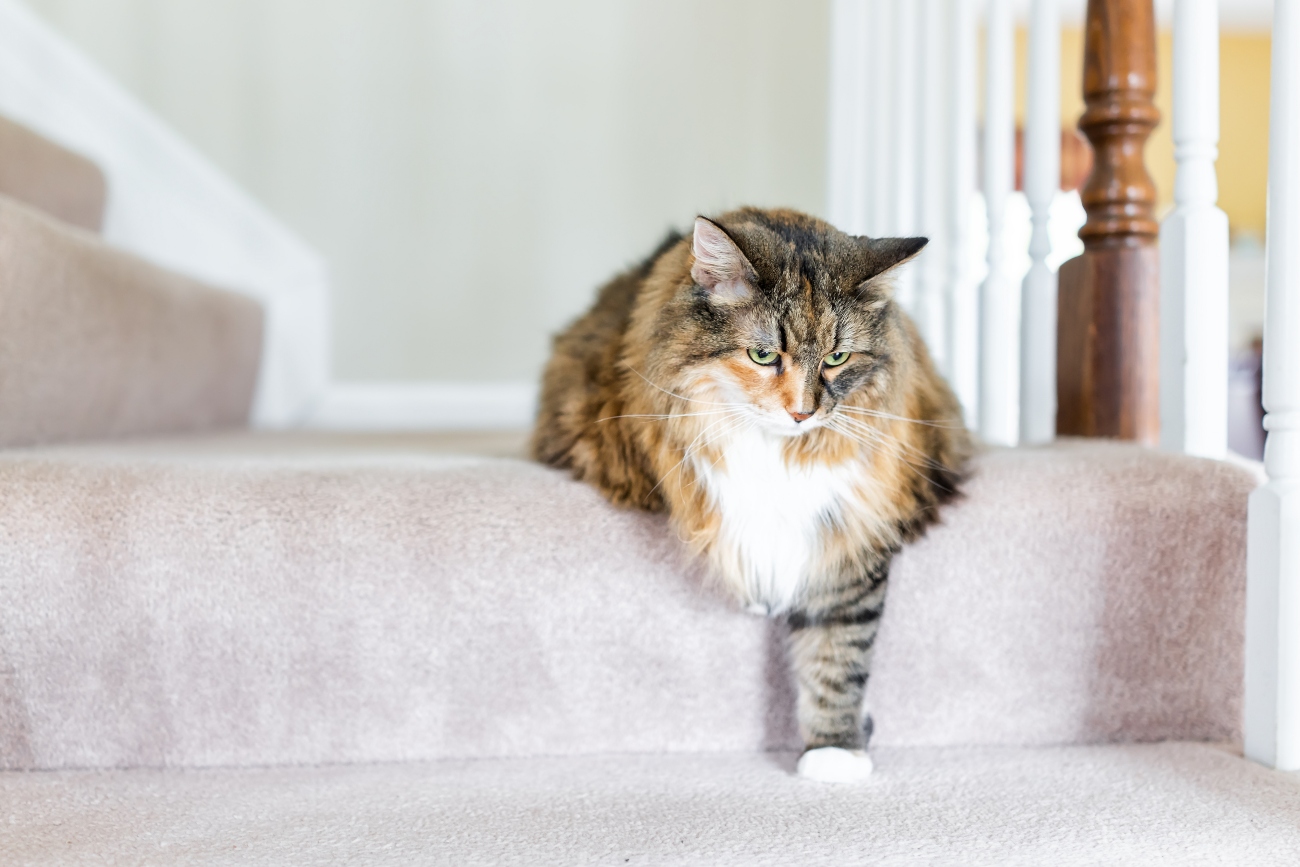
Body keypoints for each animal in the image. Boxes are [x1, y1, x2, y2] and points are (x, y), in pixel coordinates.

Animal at [527, 206, 967, 785]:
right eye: (763, 355)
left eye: (837, 357)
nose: (802, 413)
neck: (777, 450)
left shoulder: (851, 531)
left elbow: (840, 652)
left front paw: (834, 750)